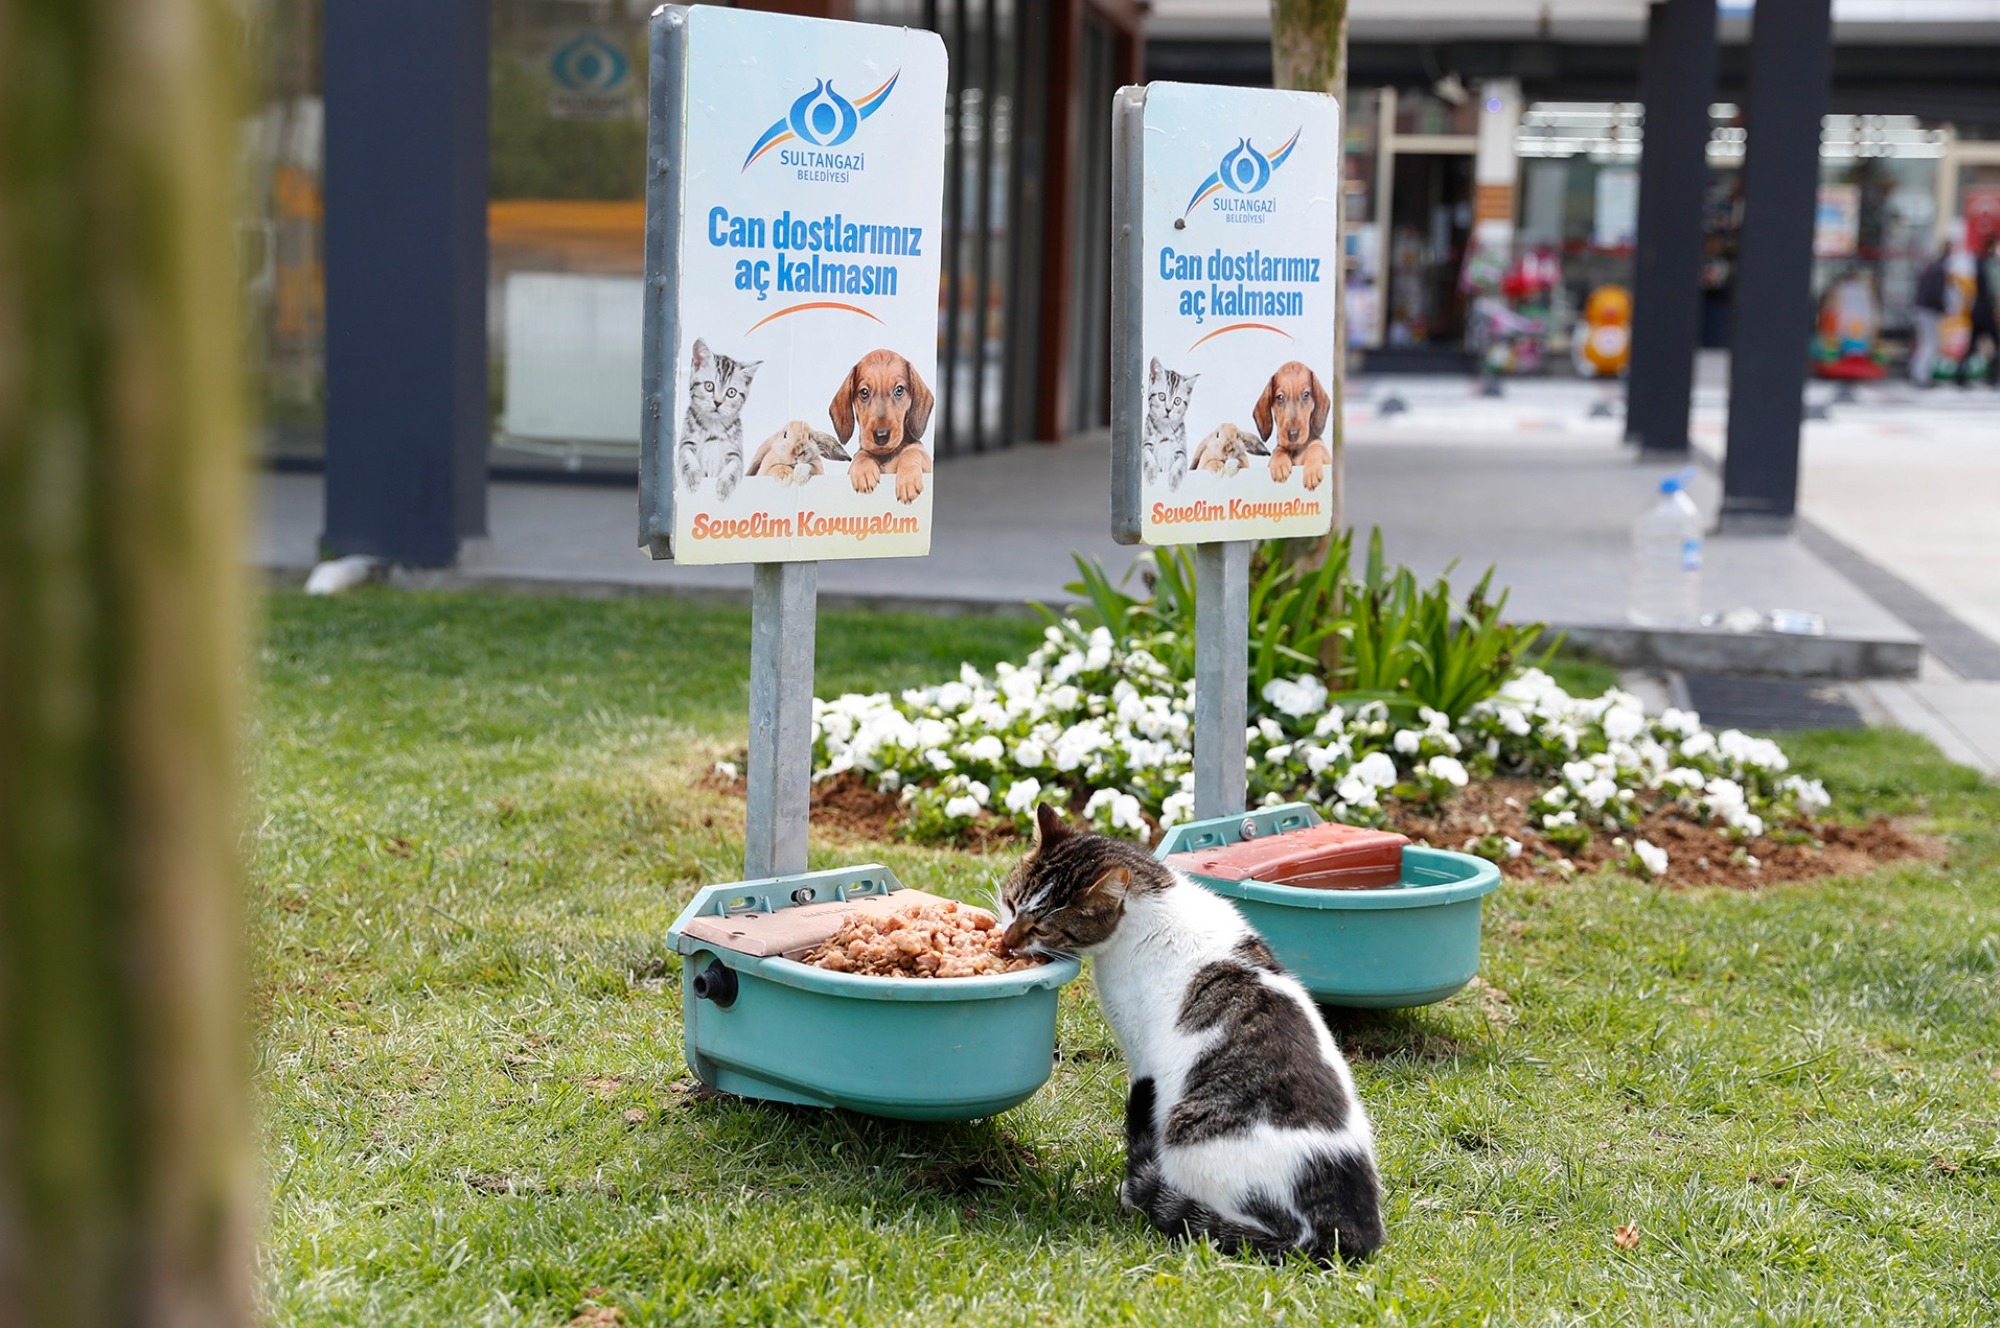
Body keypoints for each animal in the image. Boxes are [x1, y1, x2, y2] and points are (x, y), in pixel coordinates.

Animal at [676, 338, 760, 504]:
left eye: (731, 392)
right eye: (709, 386)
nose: (717, 402)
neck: (713, 428)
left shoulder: (735, 453)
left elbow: (733, 468)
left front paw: (724, 488)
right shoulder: (686, 441)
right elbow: (687, 457)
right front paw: (692, 477)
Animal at [1008, 804, 1384, 1264]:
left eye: (1041, 929)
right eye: (1011, 904)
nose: (1006, 941)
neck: (1153, 904)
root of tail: (1345, 1226)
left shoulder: (1143, 1059)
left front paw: (1129, 1192)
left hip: (1191, 1140)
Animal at [1152, 358, 1192, 492]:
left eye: (1177, 401)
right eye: (1162, 396)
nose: (1168, 410)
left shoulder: (1180, 451)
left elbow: (1179, 463)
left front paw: (1174, 480)